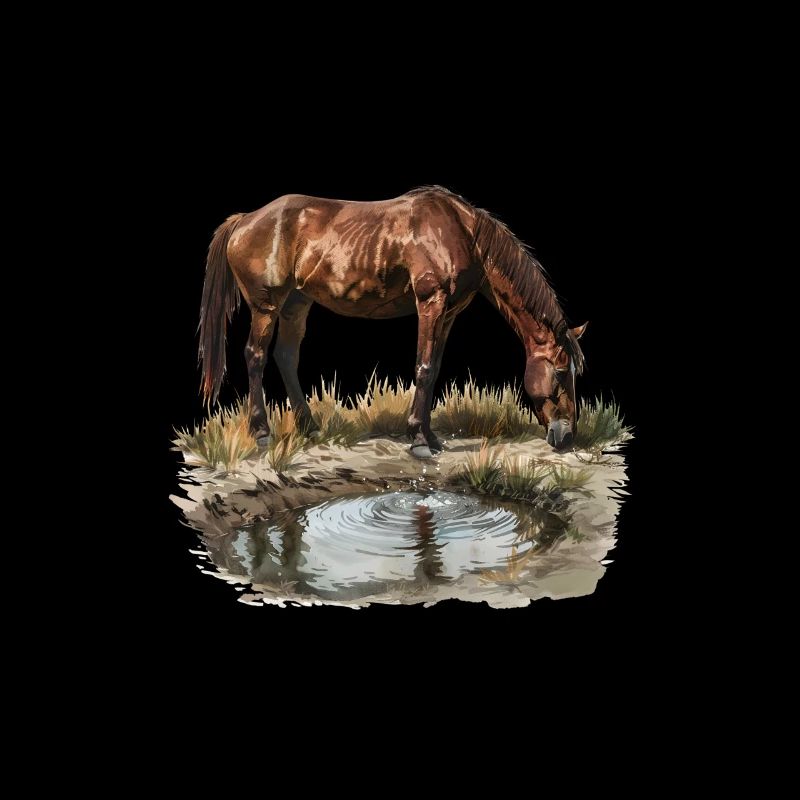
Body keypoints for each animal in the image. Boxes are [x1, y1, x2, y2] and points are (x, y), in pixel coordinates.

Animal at [198, 186, 587, 458]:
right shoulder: (431, 303)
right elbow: (424, 368)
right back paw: (262, 432)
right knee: (256, 355)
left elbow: (435, 369)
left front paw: (431, 437)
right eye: (560, 373)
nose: (567, 436)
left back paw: (310, 427)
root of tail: (246, 218)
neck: (463, 232)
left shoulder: (449, 313)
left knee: (285, 357)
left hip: (297, 302)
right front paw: (418, 440)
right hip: (265, 305)